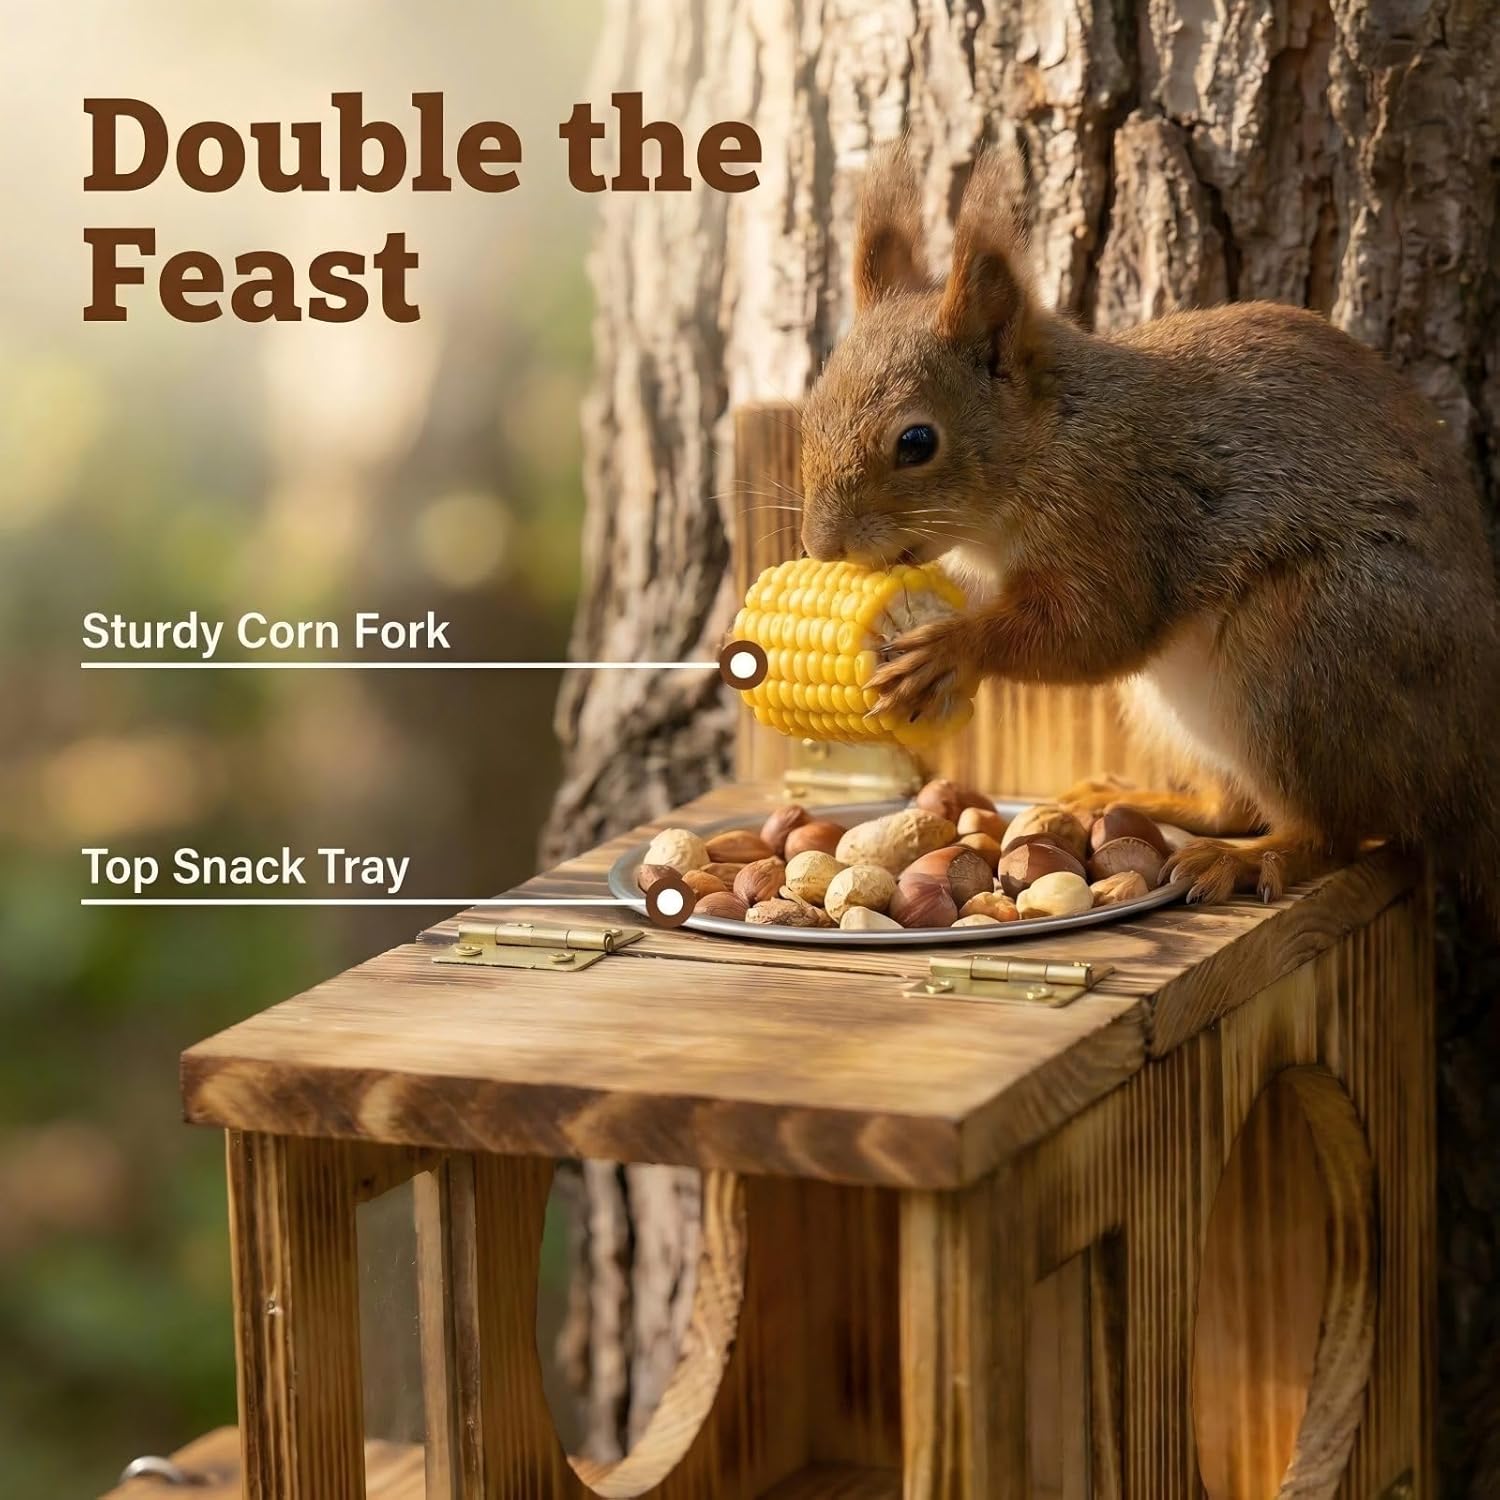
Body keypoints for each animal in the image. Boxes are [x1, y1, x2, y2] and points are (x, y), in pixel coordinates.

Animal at [797, 149, 1500, 912]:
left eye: (917, 442)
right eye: (810, 408)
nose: (822, 545)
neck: (1053, 434)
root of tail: (1469, 765)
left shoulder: (1115, 513)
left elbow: (1097, 628)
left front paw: (952, 649)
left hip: (1304, 658)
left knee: (1332, 832)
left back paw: (1249, 859)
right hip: (1181, 712)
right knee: (1234, 805)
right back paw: (1141, 802)